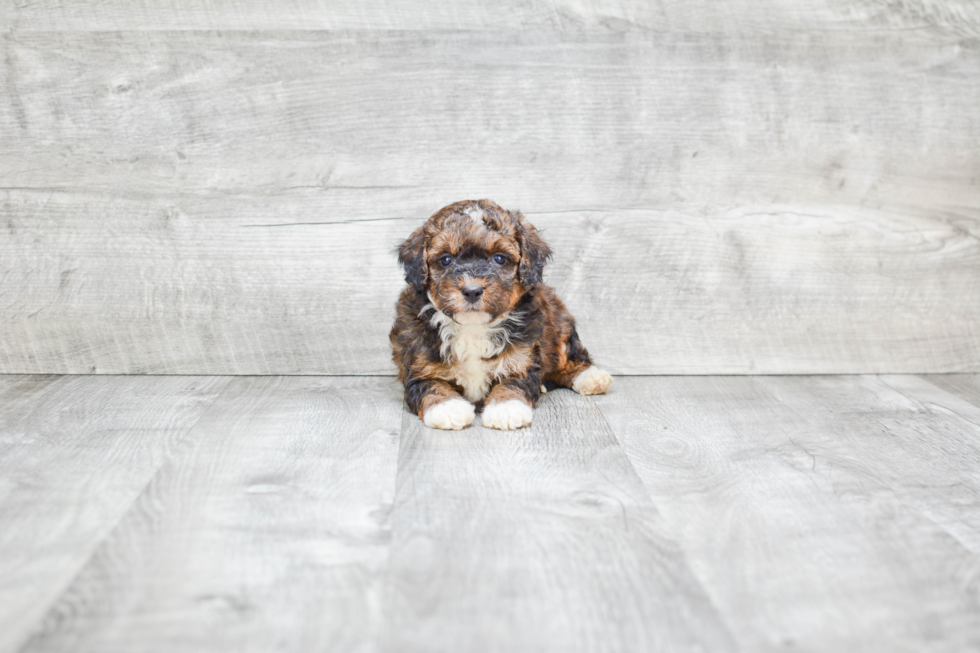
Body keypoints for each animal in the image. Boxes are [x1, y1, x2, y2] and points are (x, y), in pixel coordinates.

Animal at [390, 201, 612, 430]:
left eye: (499, 258)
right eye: (445, 260)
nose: (472, 290)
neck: (473, 327)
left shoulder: (522, 357)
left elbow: (512, 382)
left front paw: (506, 408)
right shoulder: (419, 364)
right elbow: (432, 385)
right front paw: (448, 408)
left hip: (559, 324)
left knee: (569, 357)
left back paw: (591, 377)